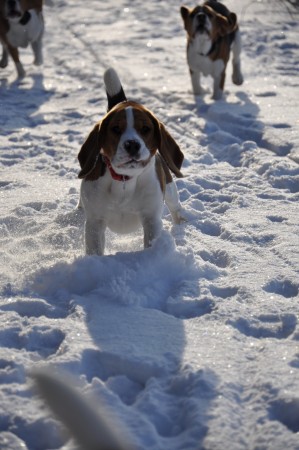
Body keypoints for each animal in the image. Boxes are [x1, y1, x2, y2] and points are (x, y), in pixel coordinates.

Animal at [78, 68, 185, 255]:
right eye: (115, 128)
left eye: (145, 129)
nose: (132, 144)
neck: (124, 181)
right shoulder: (94, 223)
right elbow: (95, 249)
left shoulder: (151, 219)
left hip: (169, 185)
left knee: (175, 205)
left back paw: (181, 222)